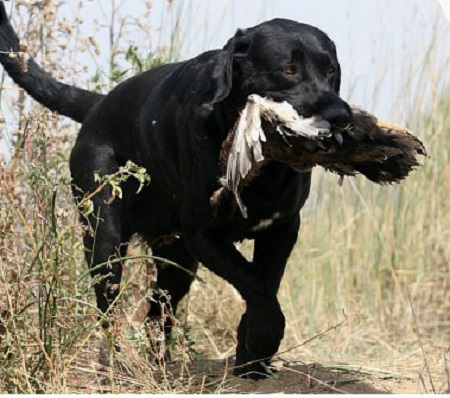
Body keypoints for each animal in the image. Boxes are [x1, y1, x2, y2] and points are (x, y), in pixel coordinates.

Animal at [0, 5, 352, 380]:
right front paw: (263, 340)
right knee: (109, 308)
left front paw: (251, 359)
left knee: (157, 313)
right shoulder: (205, 235)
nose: (340, 115)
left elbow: (264, 286)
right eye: (288, 69)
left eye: (331, 70)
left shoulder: (282, 229)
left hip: (177, 258)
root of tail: (99, 104)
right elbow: (256, 286)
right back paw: (112, 364)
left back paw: (158, 365)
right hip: (105, 237)